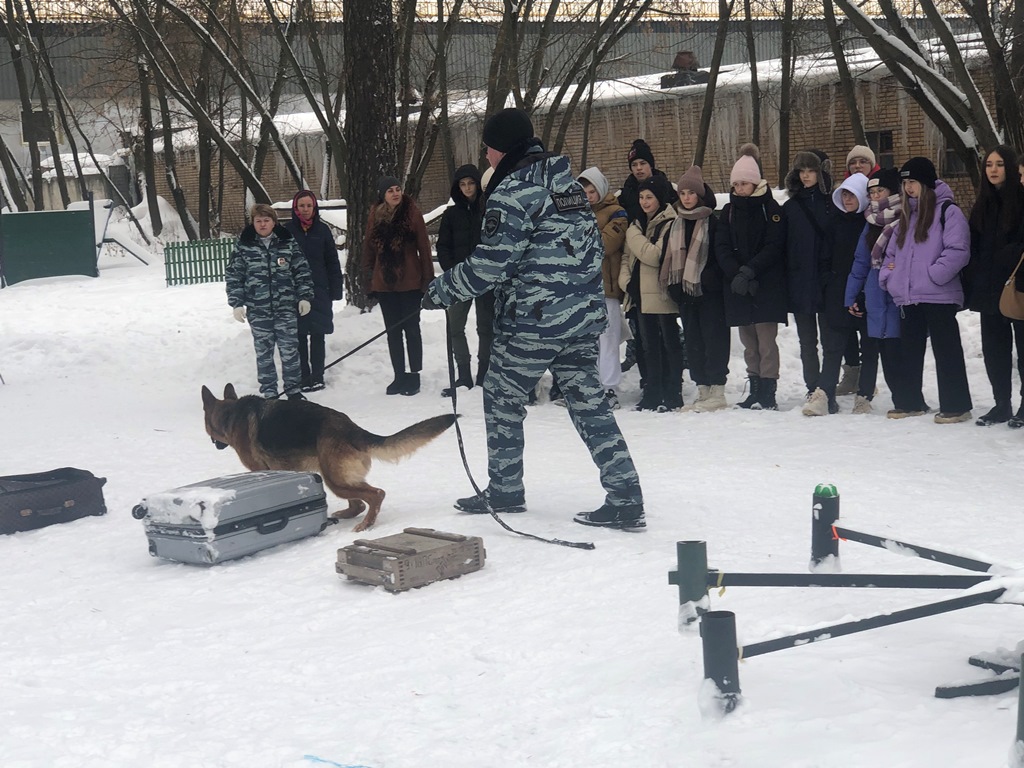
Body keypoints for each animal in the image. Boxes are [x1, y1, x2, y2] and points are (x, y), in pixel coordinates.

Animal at [200, 385, 456, 536]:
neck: (231, 414)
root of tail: (352, 428)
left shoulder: (257, 468)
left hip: (335, 480)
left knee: (376, 495)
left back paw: (366, 525)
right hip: (333, 475)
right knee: (358, 504)